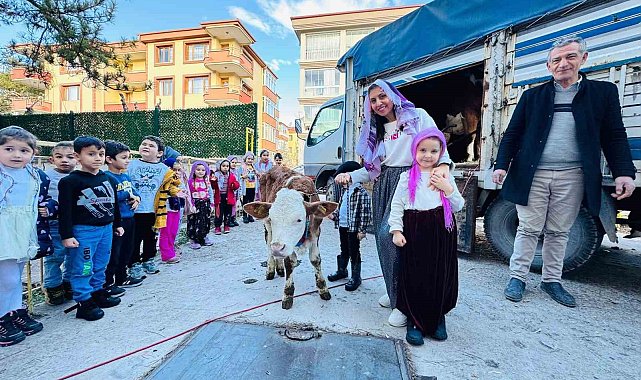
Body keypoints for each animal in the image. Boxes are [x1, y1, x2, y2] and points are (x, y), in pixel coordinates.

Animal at [242, 168, 338, 310]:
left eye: (299, 219)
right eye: (272, 218)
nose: (276, 248)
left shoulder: (316, 231)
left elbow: (315, 260)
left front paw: (323, 289)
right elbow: (289, 263)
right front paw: (287, 294)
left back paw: (279, 268)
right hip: (268, 228)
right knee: (268, 242)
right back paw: (271, 269)